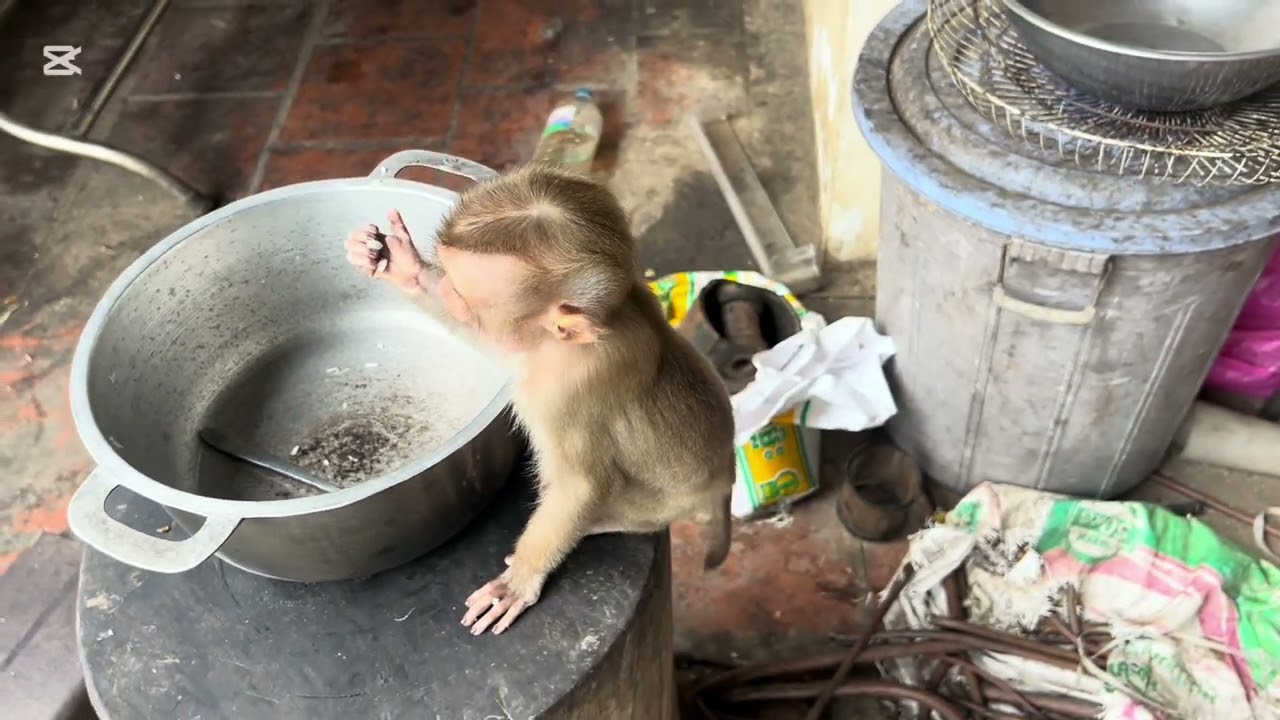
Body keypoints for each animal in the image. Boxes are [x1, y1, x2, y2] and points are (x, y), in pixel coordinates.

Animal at [342, 164, 735, 636]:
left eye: (463, 298)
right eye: (452, 289)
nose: (450, 296)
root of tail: (726, 482)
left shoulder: (562, 391)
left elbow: (581, 485)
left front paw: (520, 581)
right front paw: (405, 268)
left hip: (659, 506)